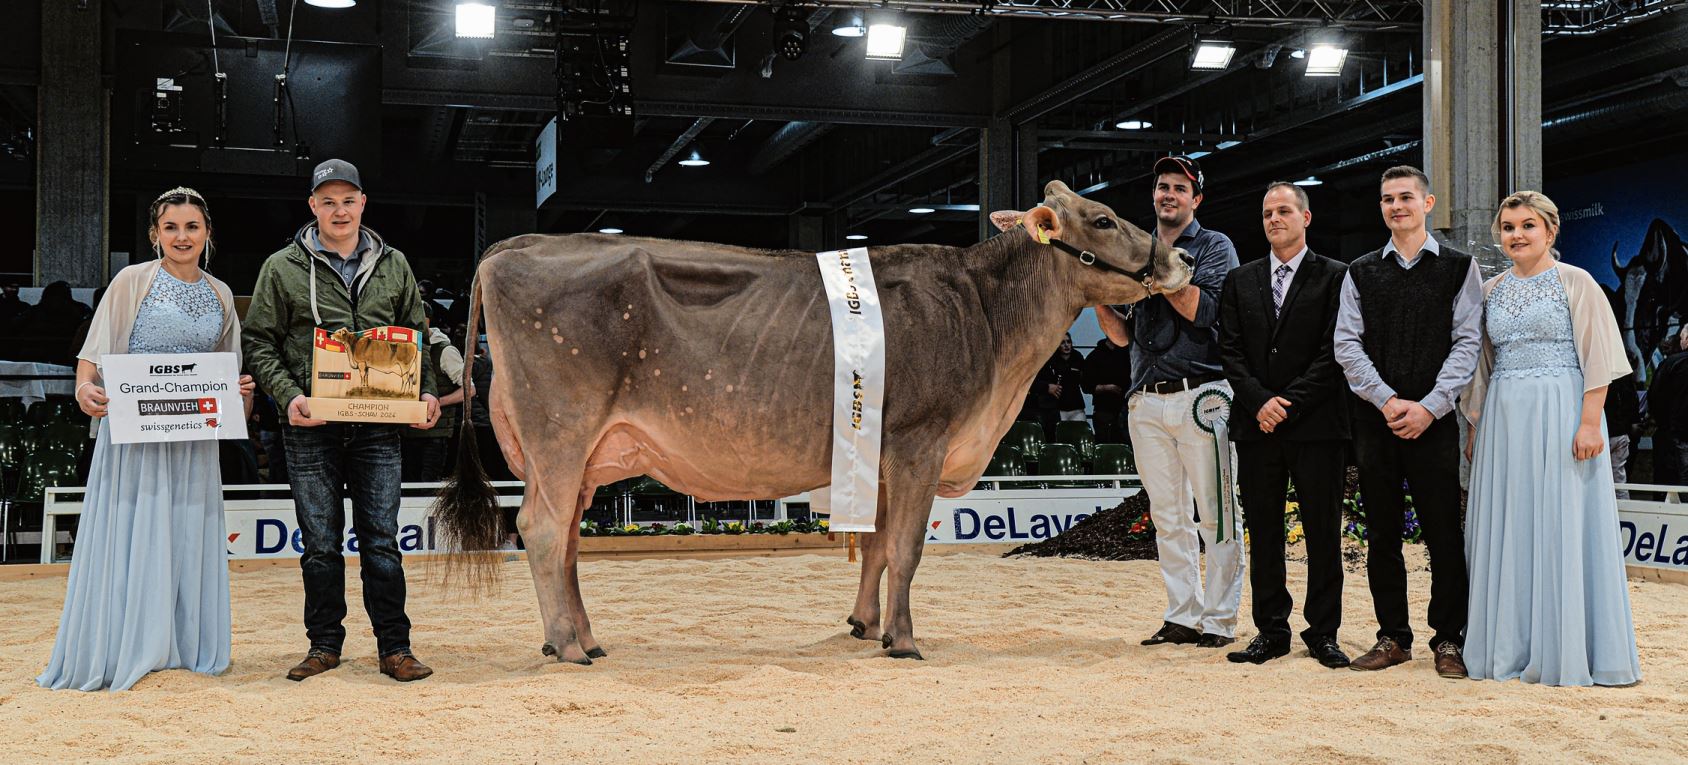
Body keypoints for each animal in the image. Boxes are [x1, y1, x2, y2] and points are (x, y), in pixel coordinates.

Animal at [438, 180, 1188, 661]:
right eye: (1102, 219)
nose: (1178, 259)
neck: (984, 311)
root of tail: (513, 246)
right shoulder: (920, 440)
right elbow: (908, 550)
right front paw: (904, 641)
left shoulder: (883, 453)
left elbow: (879, 547)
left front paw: (864, 625)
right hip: (560, 430)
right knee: (539, 529)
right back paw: (568, 645)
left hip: (582, 450)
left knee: (565, 538)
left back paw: (584, 637)